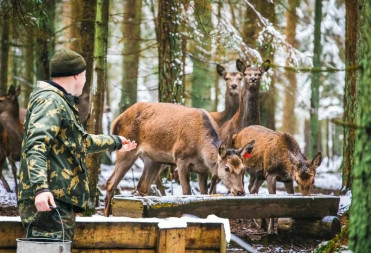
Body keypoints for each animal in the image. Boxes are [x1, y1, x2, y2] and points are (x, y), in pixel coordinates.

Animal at [104, 102, 256, 216]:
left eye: (243, 169)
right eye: (226, 168)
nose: (240, 192)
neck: (200, 149)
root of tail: (115, 121)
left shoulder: (203, 170)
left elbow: (203, 193)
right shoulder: (181, 159)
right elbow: (186, 193)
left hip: (153, 160)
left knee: (142, 185)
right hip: (126, 151)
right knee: (111, 182)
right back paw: (106, 216)